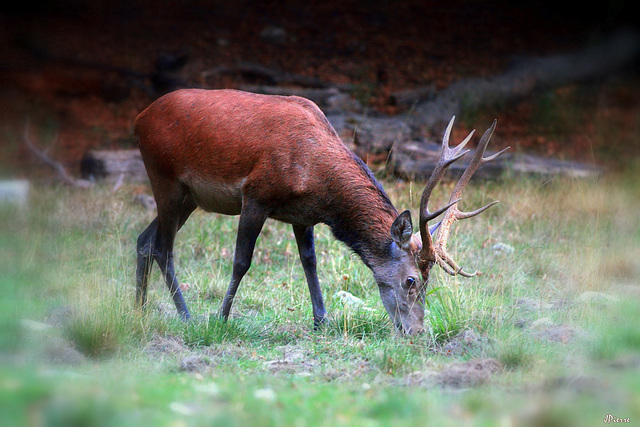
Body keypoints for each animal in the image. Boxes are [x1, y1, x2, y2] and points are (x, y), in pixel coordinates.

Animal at [134, 89, 504, 338]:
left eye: (429, 282)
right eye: (411, 280)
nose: (416, 331)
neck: (316, 176)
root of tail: (140, 118)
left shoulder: (302, 215)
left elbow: (309, 261)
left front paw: (321, 320)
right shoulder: (255, 195)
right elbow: (242, 260)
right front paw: (221, 318)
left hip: (188, 196)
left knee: (144, 239)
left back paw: (139, 309)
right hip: (164, 177)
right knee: (163, 247)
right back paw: (186, 315)